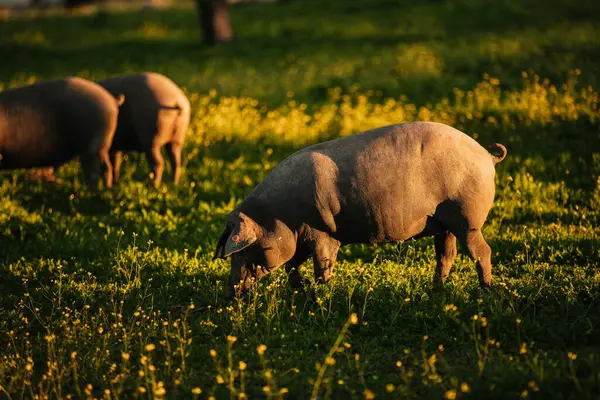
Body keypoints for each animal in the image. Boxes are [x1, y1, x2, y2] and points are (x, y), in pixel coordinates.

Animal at [213, 121, 508, 296]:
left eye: (246, 249)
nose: (230, 292)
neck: (278, 216)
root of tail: (486, 154)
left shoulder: (322, 231)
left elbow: (323, 264)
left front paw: (323, 292)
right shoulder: (301, 238)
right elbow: (291, 268)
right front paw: (303, 289)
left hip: (467, 217)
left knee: (481, 251)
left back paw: (486, 290)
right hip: (444, 222)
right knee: (446, 254)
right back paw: (435, 290)